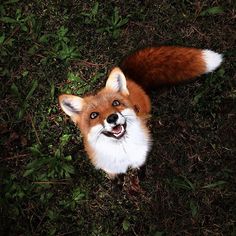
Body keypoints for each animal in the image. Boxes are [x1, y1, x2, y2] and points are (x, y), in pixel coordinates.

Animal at [58, 46, 222, 178]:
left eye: (115, 103)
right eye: (94, 115)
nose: (112, 118)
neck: (123, 151)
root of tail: (130, 78)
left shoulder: (140, 158)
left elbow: (139, 168)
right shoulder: (110, 168)